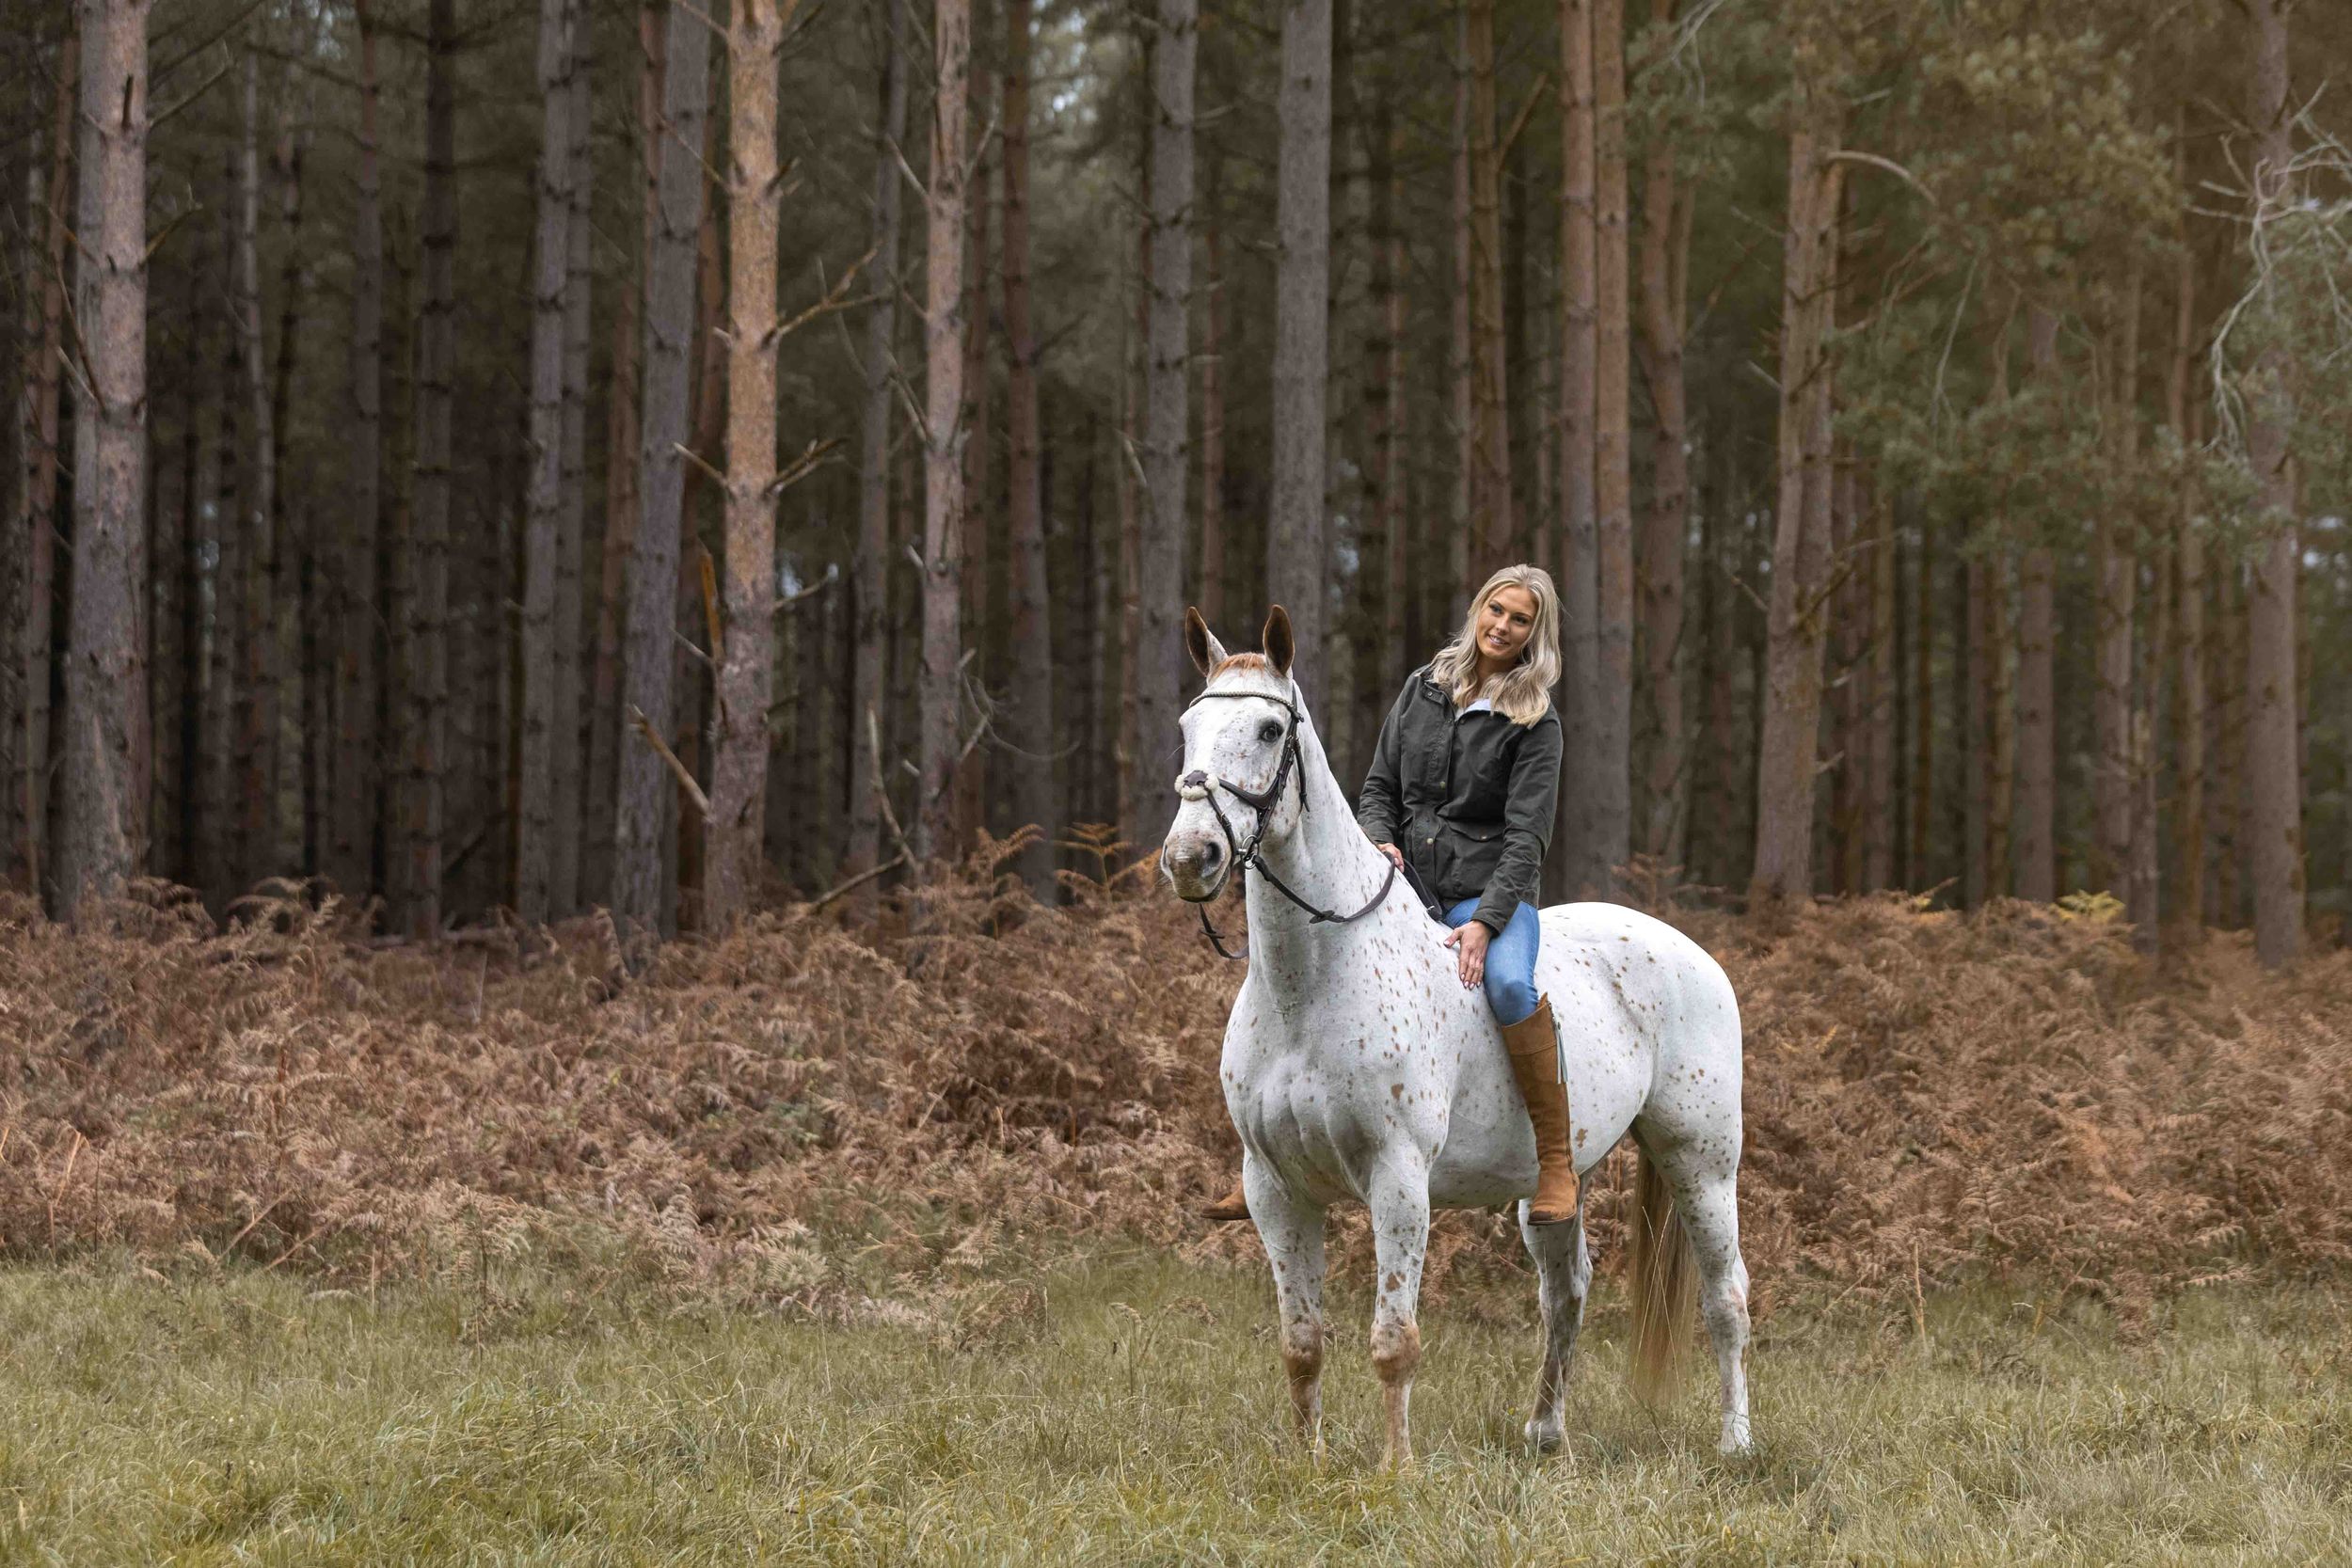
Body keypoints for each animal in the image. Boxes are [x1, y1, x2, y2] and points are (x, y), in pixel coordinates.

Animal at [1161, 605, 1753, 1466]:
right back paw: (1544, 1432)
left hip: (1700, 1163)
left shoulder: (1398, 1179)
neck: (1312, 987)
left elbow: (1393, 1340)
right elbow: (1301, 1343)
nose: (1189, 857)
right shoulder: (1275, 1189)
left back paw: (1736, 1440)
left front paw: (1396, 1469)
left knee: (1725, 1295)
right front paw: (1307, 1463)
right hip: (1556, 1185)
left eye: (1270, 729)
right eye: (1188, 726)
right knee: (1566, 1295)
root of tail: (1694, 954)